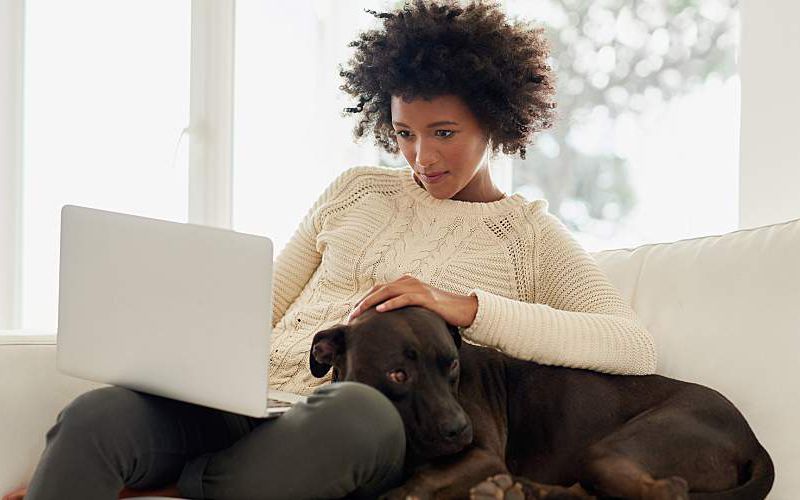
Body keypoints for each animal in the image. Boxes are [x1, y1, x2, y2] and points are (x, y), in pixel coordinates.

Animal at [310, 304, 772, 500]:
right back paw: (523, 491)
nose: (460, 430)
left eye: (451, 365)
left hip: (613, 448)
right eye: (398, 375)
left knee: (665, 491)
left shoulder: (482, 457)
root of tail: (753, 440)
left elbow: (420, 482)